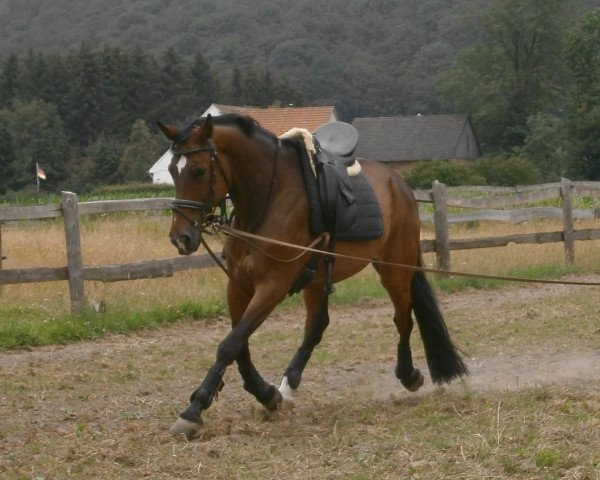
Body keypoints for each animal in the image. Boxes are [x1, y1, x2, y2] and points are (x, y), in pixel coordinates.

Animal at [157, 113, 466, 438]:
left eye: (200, 171)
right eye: (172, 171)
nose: (181, 238)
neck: (269, 199)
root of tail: (400, 185)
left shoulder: (273, 287)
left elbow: (230, 343)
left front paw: (193, 411)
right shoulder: (238, 285)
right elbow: (239, 345)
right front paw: (268, 394)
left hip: (395, 269)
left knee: (403, 319)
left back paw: (408, 375)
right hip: (317, 280)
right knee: (316, 327)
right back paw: (288, 384)